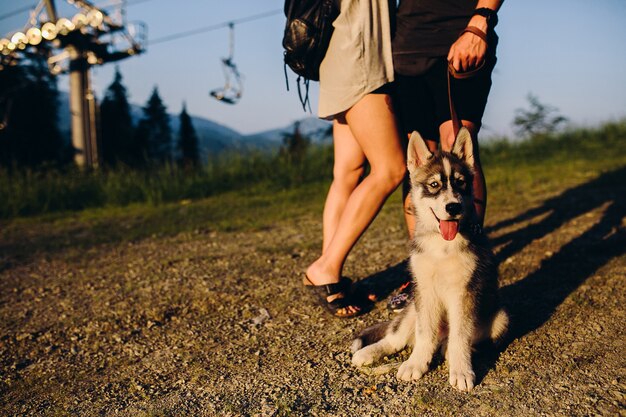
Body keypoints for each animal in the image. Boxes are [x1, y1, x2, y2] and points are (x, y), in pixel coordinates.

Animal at [352, 127, 508, 390]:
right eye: (434, 185)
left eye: (460, 183)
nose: (453, 207)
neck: (441, 246)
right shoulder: (424, 291)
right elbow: (425, 334)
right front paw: (415, 364)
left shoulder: (464, 293)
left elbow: (460, 337)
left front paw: (461, 370)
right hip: (412, 309)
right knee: (397, 339)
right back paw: (367, 353)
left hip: (500, 318)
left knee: (452, 341)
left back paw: (448, 351)